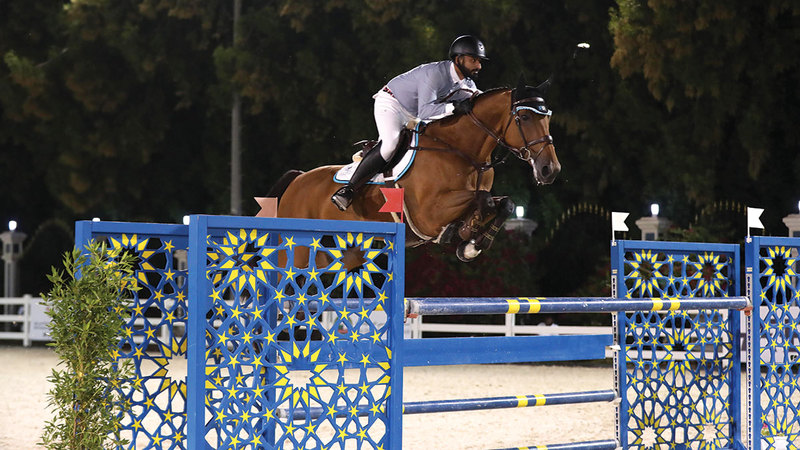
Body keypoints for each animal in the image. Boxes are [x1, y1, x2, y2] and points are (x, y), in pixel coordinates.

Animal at [268, 77, 560, 262]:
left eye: (547, 116)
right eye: (524, 117)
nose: (550, 170)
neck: (463, 151)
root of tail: (298, 180)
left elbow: (503, 203)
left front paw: (471, 243)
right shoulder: (428, 214)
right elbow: (483, 199)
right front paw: (465, 234)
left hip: (347, 252)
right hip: (298, 250)